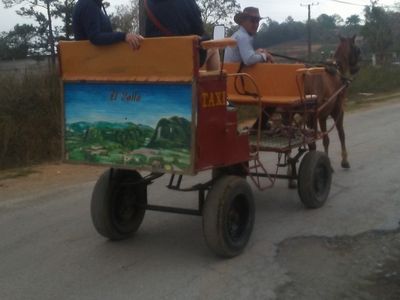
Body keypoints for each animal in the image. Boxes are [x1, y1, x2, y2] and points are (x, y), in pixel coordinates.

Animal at [304, 35, 360, 169]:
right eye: (357, 49)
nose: (356, 67)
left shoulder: (322, 116)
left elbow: (326, 139)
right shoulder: (337, 110)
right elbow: (341, 133)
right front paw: (344, 160)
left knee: (309, 141)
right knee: (311, 141)